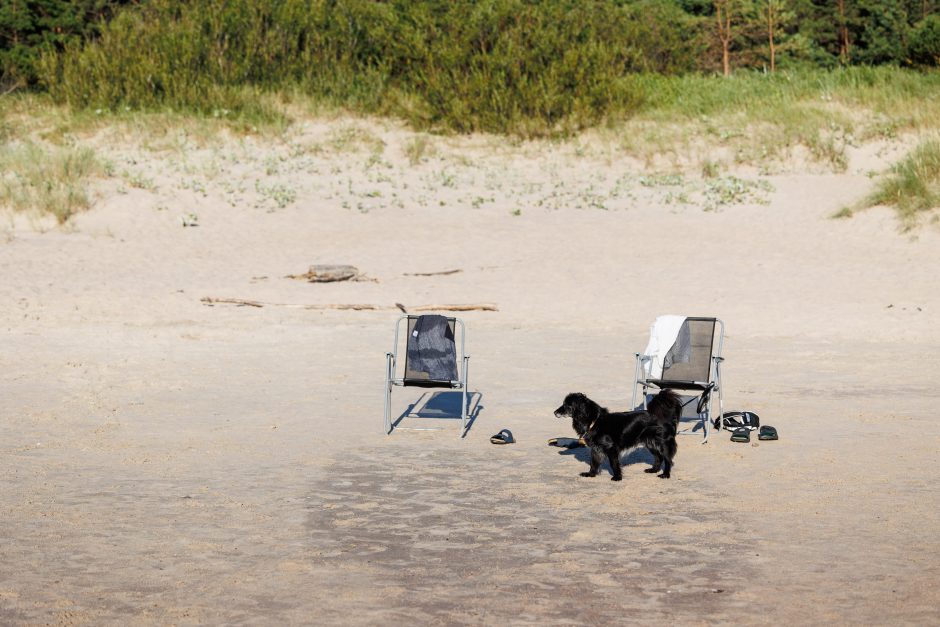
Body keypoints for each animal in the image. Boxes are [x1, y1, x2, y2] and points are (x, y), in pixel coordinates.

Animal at [552, 392, 684, 480]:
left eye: (567, 405)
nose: (554, 412)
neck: (594, 421)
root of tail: (664, 417)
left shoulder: (611, 448)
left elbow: (614, 463)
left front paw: (617, 477)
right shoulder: (596, 448)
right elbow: (593, 462)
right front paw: (590, 474)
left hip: (663, 444)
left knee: (668, 460)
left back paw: (665, 474)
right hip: (650, 443)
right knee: (658, 457)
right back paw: (653, 470)